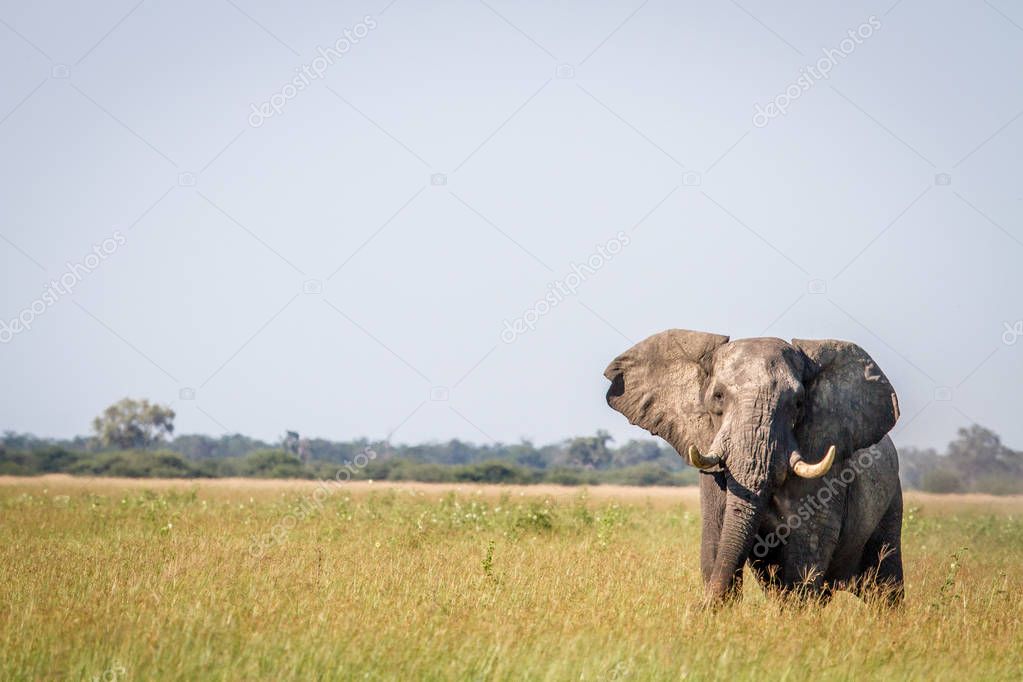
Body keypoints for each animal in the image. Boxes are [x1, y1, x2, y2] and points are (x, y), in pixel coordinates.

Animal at [601, 331, 908, 609]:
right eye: (718, 396)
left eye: (798, 403)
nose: (698, 608)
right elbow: (716, 538)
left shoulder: (824, 472)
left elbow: (807, 548)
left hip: (891, 502)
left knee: (886, 586)